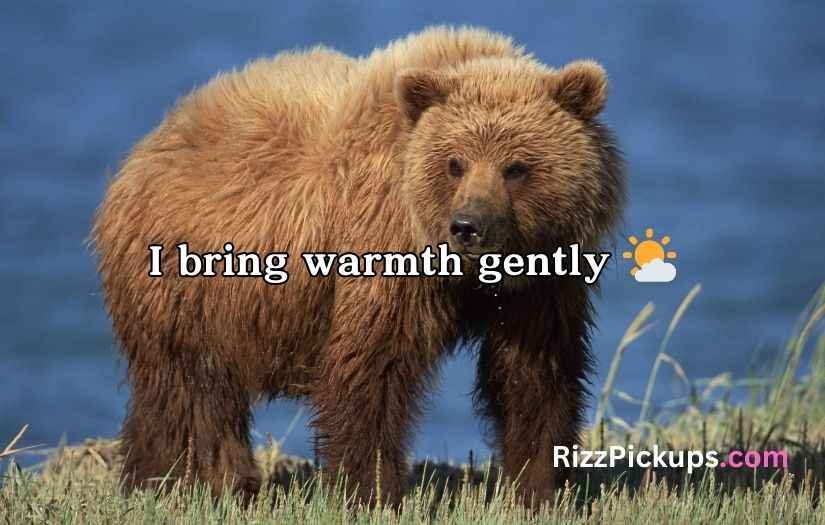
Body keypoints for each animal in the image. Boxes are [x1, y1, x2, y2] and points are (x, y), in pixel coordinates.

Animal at [91, 26, 625, 508]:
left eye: (516, 167)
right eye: (454, 162)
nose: (467, 226)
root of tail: (146, 146)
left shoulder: (541, 282)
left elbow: (533, 373)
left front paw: (540, 488)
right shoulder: (383, 250)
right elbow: (373, 368)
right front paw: (369, 491)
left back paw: (163, 478)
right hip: (185, 285)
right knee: (190, 390)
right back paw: (199, 482)